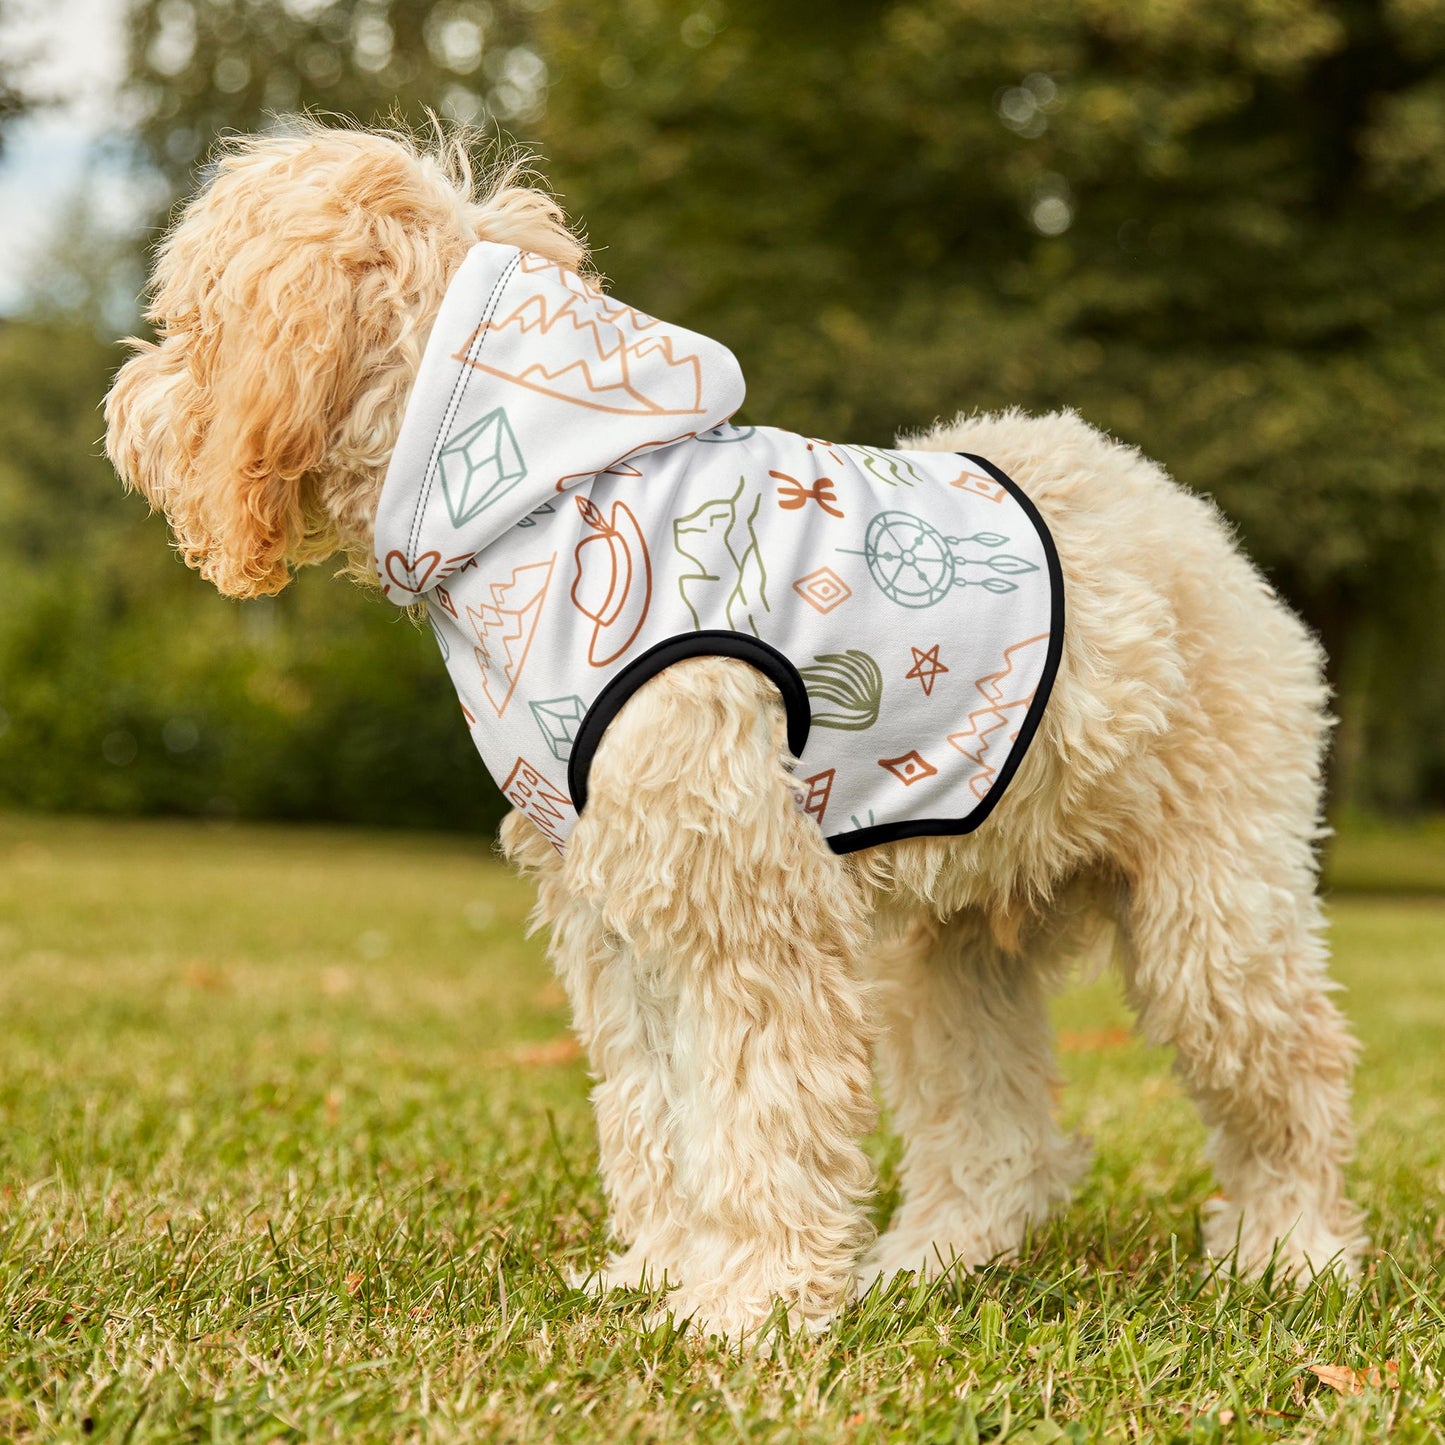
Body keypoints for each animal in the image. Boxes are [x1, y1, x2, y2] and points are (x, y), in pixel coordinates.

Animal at [104, 127, 1364, 1340]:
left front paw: (748, 1304)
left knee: (1293, 1074)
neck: (544, 498)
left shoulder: (744, 904)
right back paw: (928, 1260)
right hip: (949, 946)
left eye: (191, 320)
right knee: (996, 1134)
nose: (123, 407)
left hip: (1212, 913)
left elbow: (760, 1112)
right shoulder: (615, 910)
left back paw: (1290, 1251)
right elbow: (656, 1112)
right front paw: (662, 1272)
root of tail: (1183, 515)